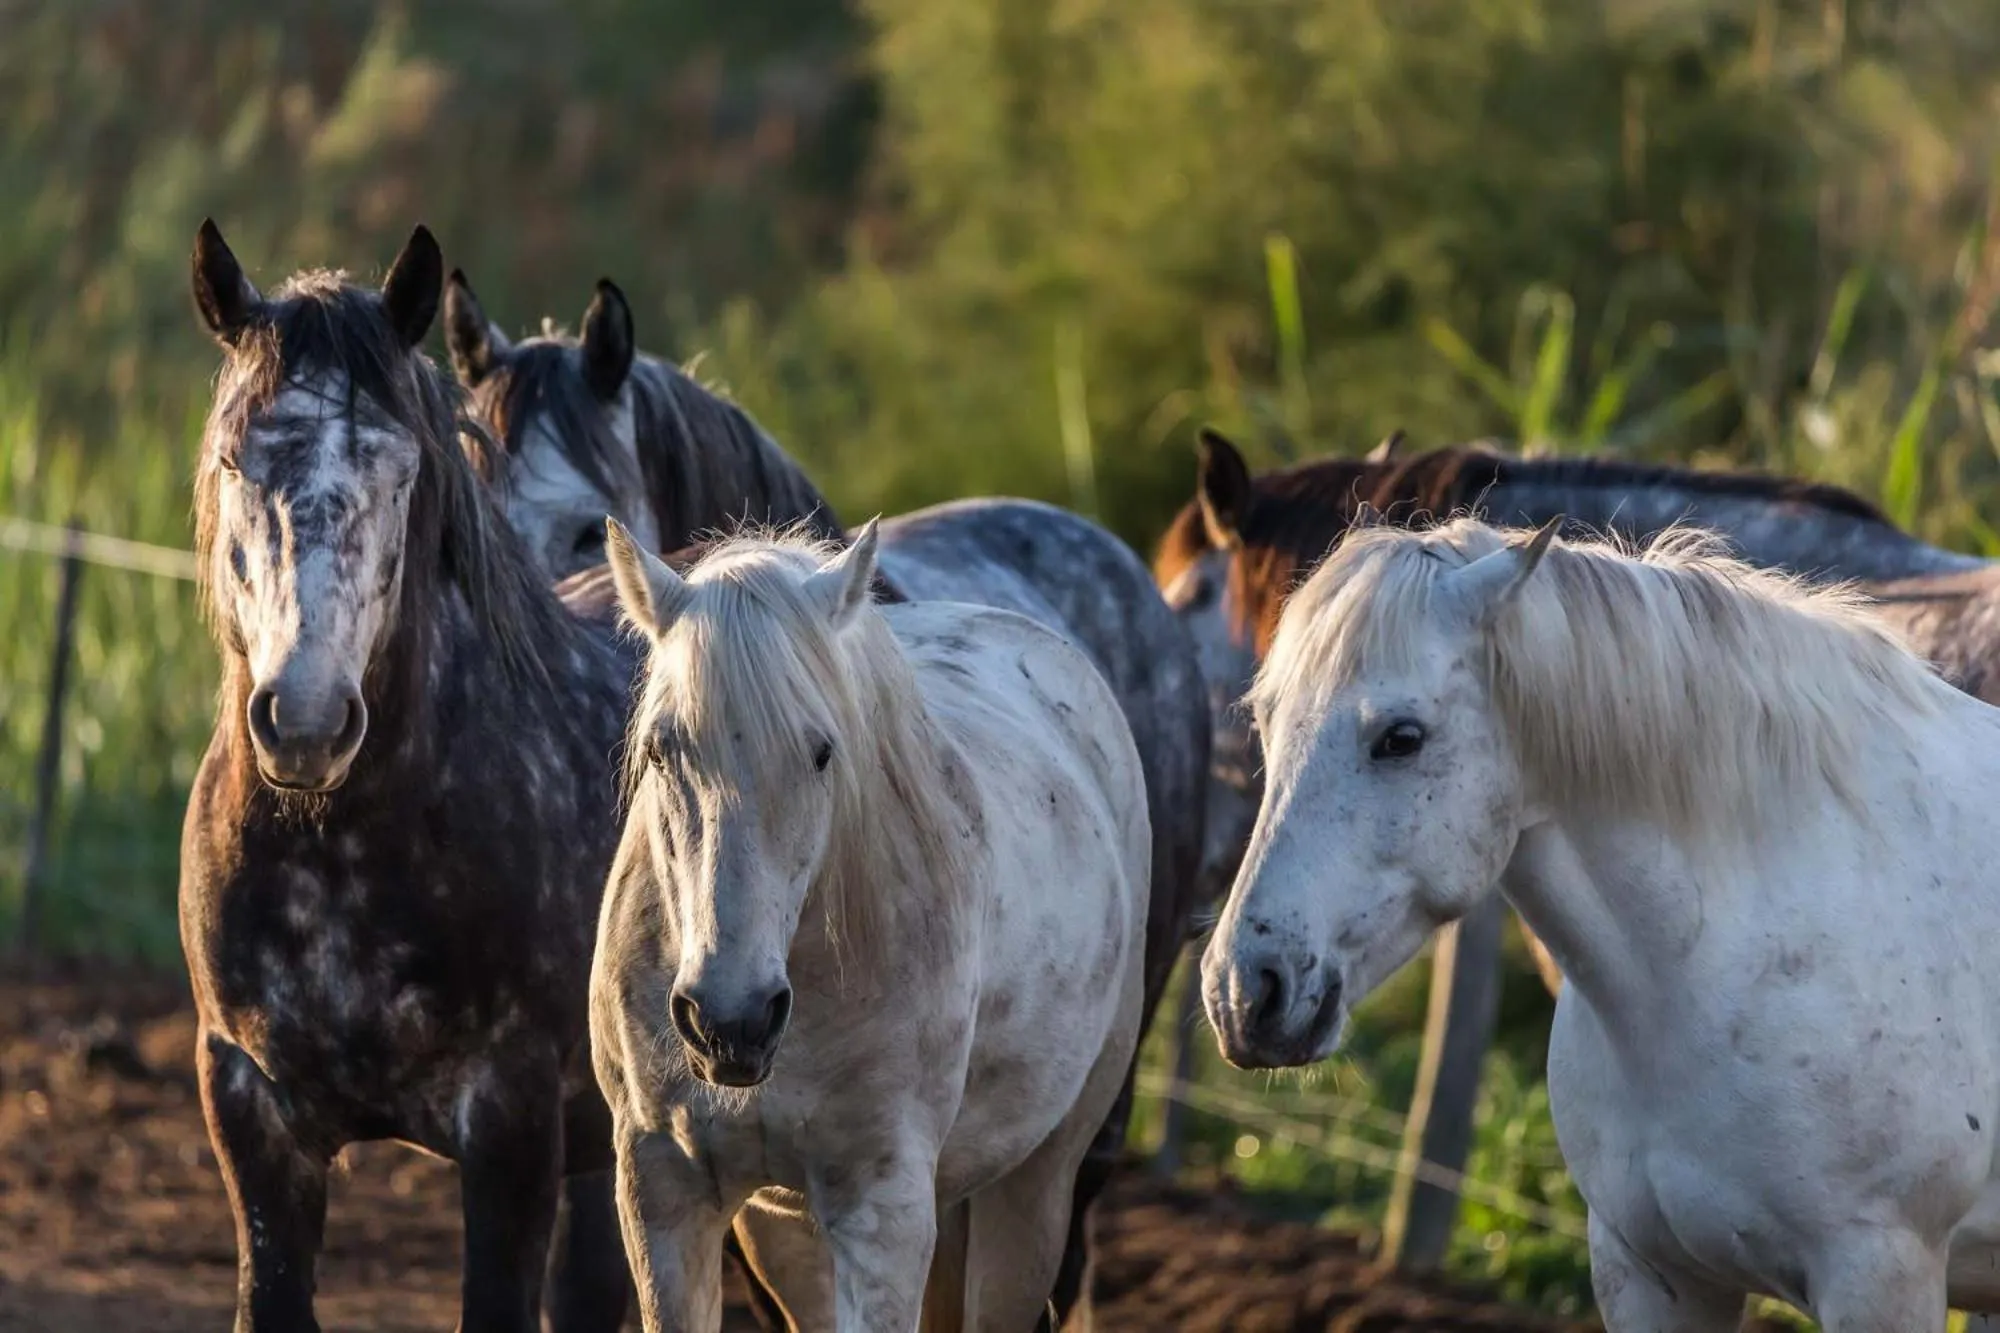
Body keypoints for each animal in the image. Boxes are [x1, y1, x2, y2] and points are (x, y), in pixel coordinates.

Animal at [590, 521, 1149, 1333]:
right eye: (664, 749)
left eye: (822, 752)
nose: (732, 1020)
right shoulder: (664, 1192)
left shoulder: (882, 1211)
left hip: (1038, 1184)